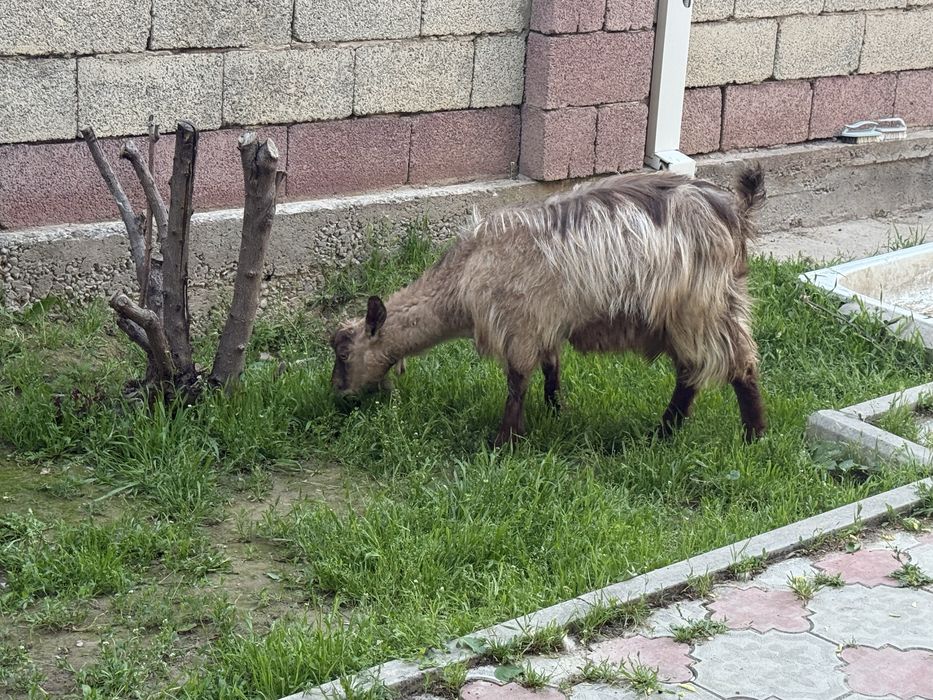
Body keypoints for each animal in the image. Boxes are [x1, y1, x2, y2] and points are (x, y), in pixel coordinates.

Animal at [330, 165, 767, 447]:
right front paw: (558, 411)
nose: (337, 392)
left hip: (702, 307)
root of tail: (737, 213)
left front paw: (503, 442)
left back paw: (753, 437)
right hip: (692, 313)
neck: (466, 271)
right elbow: (551, 368)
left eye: (345, 354)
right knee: (691, 373)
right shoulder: (547, 320)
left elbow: (517, 382)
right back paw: (665, 432)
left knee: (738, 365)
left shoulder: (521, 323)